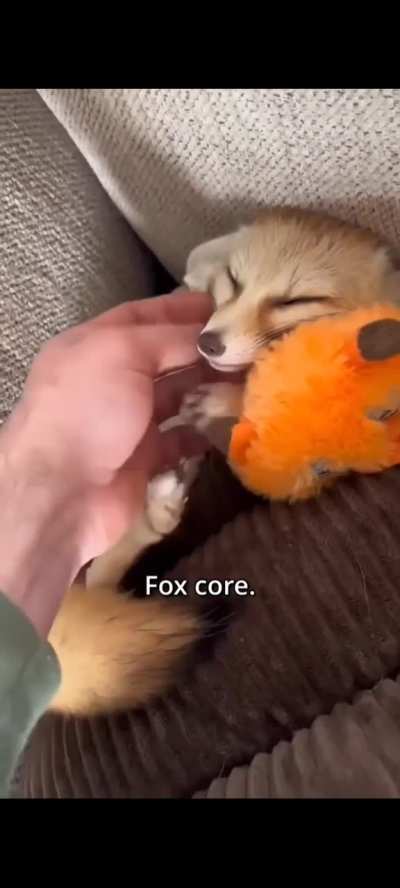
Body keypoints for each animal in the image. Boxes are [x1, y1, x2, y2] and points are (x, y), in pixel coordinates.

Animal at [48, 206, 400, 717]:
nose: (209, 343)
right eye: (234, 280)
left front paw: (226, 401)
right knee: (99, 575)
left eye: (298, 299)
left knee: (101, 575)